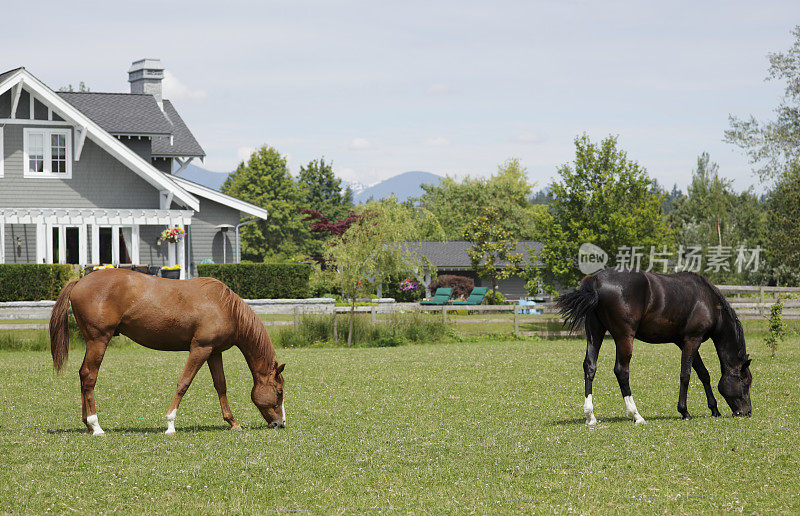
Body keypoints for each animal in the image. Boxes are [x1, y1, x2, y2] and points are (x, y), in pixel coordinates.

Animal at [50, 270, 288, 436]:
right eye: (279, 392)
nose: (280, 423)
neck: (223, 306)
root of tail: (79, 281)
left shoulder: (213, 352)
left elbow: (221, 386)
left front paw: (233, 422)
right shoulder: (200, 348)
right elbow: (184, 383)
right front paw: (170, 423)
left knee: (83, 376)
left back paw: (88, 425)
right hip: (98, 340)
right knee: (89, 377)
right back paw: (96, 426)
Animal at [556, 268, 752, 426]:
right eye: (746, 381)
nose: (747, 412)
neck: (708, 301)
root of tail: (596, 280)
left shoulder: (684, 342)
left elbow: (703, 374)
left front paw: (714, 409)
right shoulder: (692, 340)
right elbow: (686, 375)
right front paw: (684, 411)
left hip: (595, 333)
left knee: (590, 367)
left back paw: (590, 416)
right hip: (624, 337)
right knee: (621, 371)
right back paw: (636, 415)